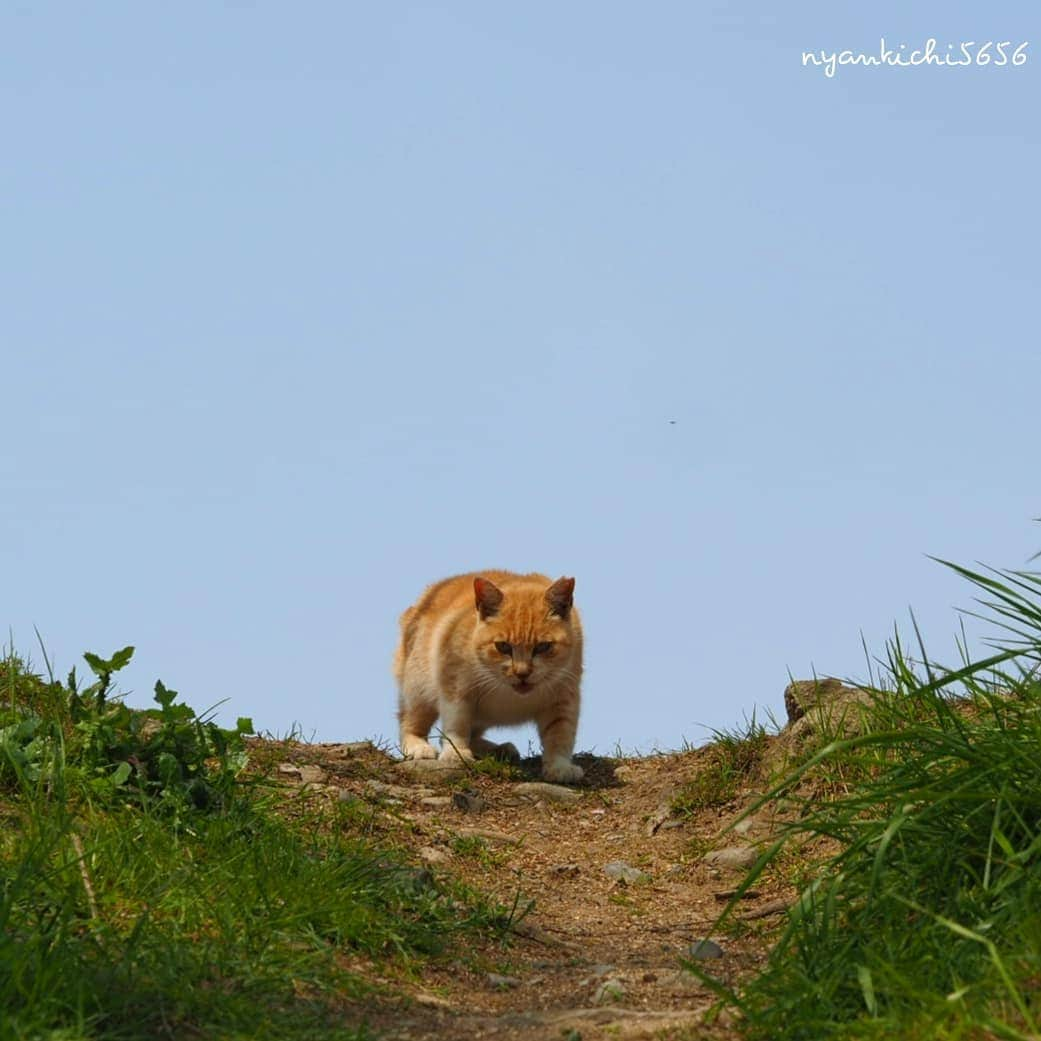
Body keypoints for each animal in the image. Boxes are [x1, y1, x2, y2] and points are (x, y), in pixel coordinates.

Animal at [391, 574, 587, 782]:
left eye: (543, 646)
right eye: (503, 646)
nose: (522, 673)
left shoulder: (564, 698)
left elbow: (560, 733)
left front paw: (560, 766)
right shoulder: (454, 686)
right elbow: (457, 723)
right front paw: (456, 752)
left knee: (474, 735)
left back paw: (500, 750)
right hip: (417, 689)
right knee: (408, 723)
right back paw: (419, 747)